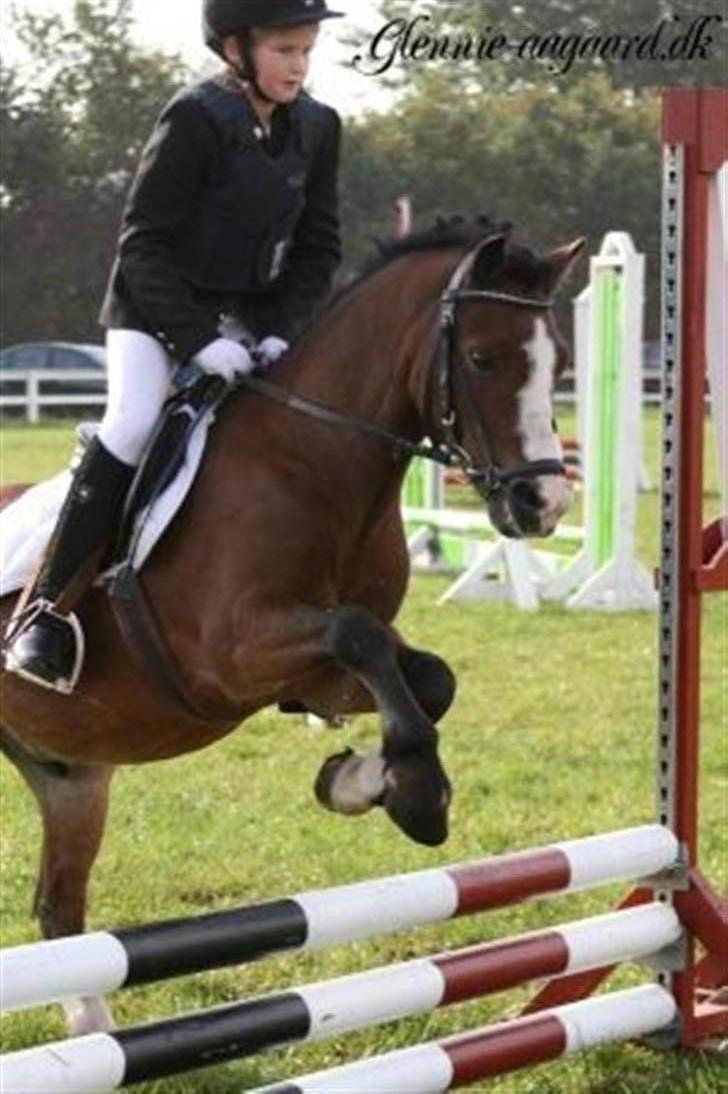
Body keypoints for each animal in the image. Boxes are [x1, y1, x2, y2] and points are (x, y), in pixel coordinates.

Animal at [0, 221, 583, 1034]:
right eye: (481, 357)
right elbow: (357, 634)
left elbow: (426, 678)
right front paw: (416, 796)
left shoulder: (310, 674)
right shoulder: (231, 655)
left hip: (70, 775)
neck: (315, 462)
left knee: (60, 907)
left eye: (558, 360)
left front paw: (358, 779)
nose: (542, 505)